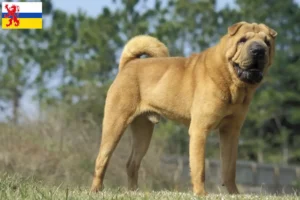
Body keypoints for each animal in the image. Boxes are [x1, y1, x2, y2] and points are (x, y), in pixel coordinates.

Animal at [90, 21, 278, 195]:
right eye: (242, 40)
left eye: (267, 42)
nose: (258, 50)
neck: (233, 84)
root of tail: (129, 64)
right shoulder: (200, 130)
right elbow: (199, 167)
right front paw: (201, 194)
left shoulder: (231, 131)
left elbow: (229, 168)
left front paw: (234, 194)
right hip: (115, 123)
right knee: (102, 159)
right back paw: (96, 189)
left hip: (143, 130)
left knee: (132, 163)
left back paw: (134, 192)